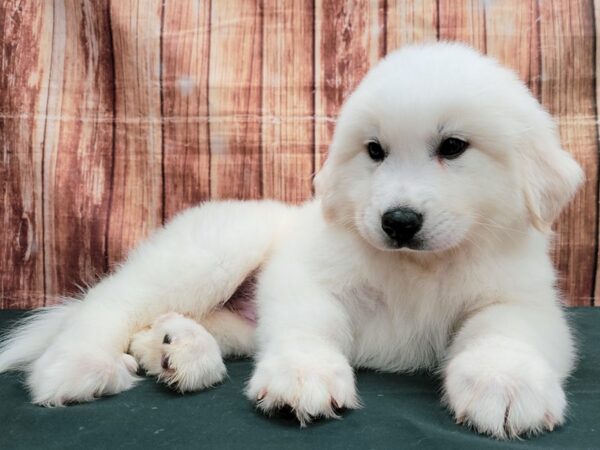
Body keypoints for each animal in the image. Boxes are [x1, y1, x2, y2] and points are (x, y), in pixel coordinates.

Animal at [0, 43, 580, 440]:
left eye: (454, 146)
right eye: (374, 151)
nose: (398, 221)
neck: (420, 268)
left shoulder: (520, 300)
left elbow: (506, 334)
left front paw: (505, 385)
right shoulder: (310, 278)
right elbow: (310, 327)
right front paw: (303, 377)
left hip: (226, 310)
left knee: (174, 324)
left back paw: (175, 349)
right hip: (213, 252)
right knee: (111, 303)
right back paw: (79, 366)